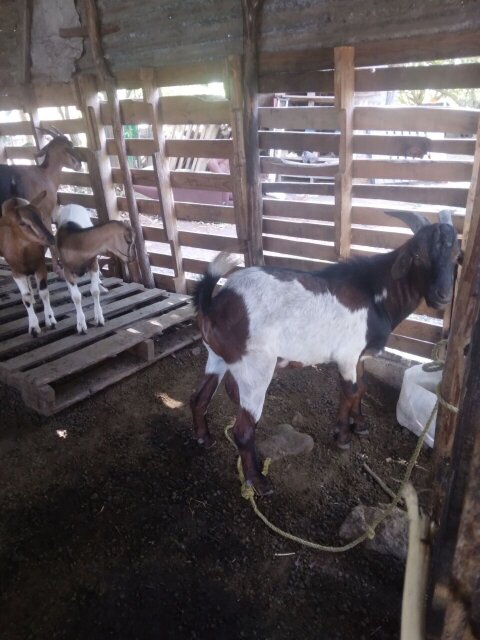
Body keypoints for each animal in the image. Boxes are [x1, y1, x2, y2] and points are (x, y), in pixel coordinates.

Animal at [0, 192, 57, 336]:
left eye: (41, 217)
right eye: (23, 223)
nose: (51, 238)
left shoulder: (40, 265)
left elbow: (44, 292)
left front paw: (50, 321)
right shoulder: (16, 271)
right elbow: (25, 297)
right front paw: (34, 328)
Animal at [55, 204, 136, 334]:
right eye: (129, 241)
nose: (132, 258)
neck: (78, 244)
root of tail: (72, 205)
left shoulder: (93, 263)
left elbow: (94, 291)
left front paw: (99, 319)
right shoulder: (67, 269)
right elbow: (76, 297)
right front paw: (81, 325)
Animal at [190, 211, 460, 495]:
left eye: (456, 255)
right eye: (418, 253)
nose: (442, 295)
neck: (374, 293)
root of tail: (214, 304)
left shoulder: (360, 356)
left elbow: (361, 388)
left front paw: (360, 425)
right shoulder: (347, 355)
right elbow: (349, 391)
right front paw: (342, 435)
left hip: (218, 357)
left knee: (199, 398)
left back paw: (203, 438)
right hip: (255, 367)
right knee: (243, 429)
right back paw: (259, 482)